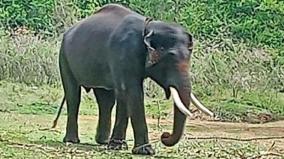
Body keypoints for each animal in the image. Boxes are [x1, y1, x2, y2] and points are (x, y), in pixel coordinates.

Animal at [52, 3, 214, 155]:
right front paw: (145, 151)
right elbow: (132, 91)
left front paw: (118, 146)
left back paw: (103, 141)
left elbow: (124, 94)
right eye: (171, 58)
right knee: (73, 95)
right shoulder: (124, 52)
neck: (149, 27)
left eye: (189, 55)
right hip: (64, 57)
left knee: (106, 99)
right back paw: (72, 141)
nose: (164, 135)